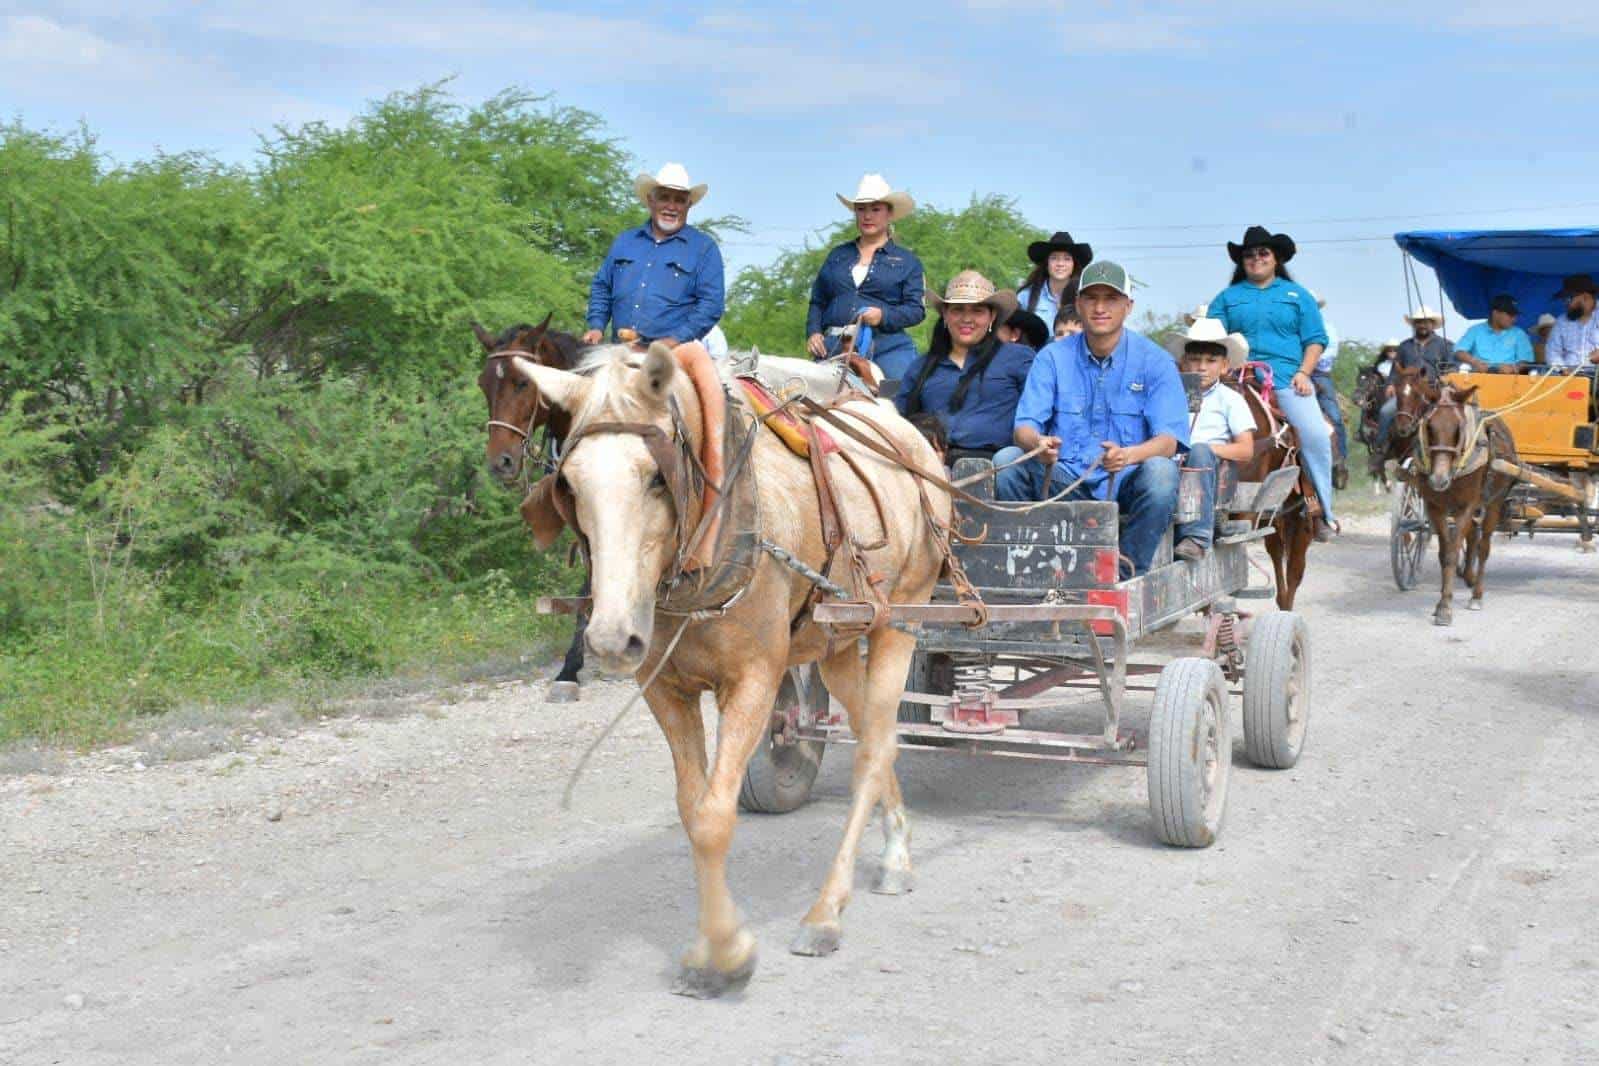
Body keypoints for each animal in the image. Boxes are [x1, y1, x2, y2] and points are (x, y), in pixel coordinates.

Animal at [498, 343, 946, 1003]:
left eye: (656, 476)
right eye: (571, 483)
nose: (609, 638)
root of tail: (904, 429)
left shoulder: (755, 681)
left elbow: (713, 816)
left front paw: (722, 954)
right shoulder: (664, 688)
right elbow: (692, 807)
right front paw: (715, 943)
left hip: (900, 620)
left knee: (870, 754)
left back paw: (826, 912)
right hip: (838, 641)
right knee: (878, 736)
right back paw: (895, 856)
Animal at [1394, 367, 1515, 626]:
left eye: (1458, 429)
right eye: (1429, 428)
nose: (1439, 480)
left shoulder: (1466, 506)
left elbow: (1452, 552)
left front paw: (1445, 608)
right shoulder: (1435, 506)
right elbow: (1444, 553)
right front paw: (1442, 600)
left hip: (1494, 501)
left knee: (1484, 546)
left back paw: (1477, 594)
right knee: (1471, 537)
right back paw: (1468, 576)